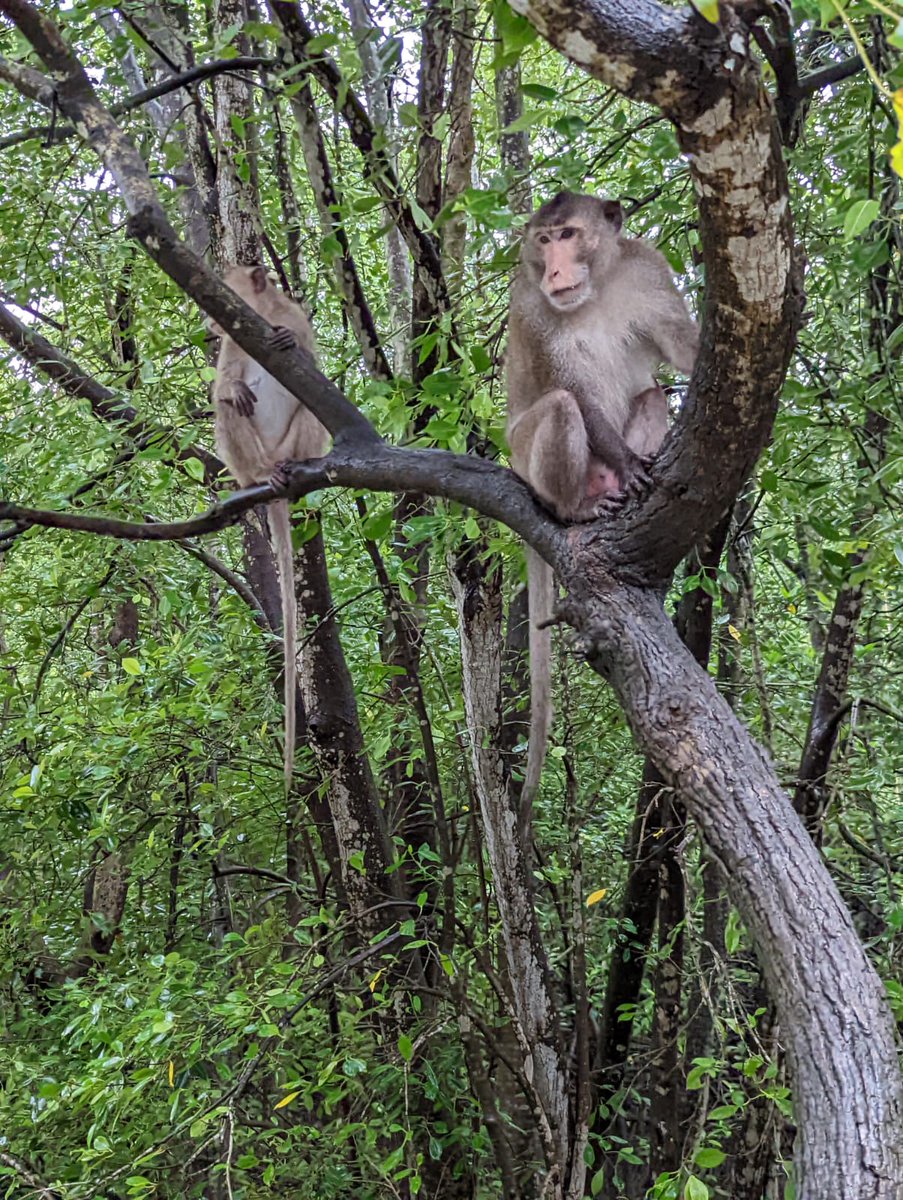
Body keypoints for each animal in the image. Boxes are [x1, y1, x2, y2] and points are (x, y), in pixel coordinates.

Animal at [509, 192, 696, 811]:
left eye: (569, 234)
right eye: (544, 241)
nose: (555, 269)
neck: (598, 287)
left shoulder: (649, 270)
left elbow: (679, 349)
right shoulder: (530, 305)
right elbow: (574, 389)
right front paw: (633, 467)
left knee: (652, 394)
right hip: (528, 458)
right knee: (561, 405)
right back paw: (576, 510)